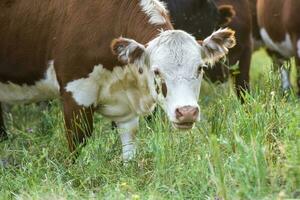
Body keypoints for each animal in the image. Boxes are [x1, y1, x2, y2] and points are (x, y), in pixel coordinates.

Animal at [0, 0, 236, 161]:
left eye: (200, 68)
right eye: (157, 71)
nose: (187, 112)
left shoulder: (126, 110)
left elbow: (129, 147)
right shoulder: (75, 92)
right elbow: (78, 143)